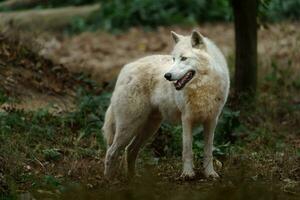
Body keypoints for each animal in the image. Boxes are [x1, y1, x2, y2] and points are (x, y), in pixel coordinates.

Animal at [103, 30, 230, 179]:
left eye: (184, 58)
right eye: (174, 59)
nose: (167, 76)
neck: (202, 87)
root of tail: (125, 70)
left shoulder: (211, 121)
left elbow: (208, 151)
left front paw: (210, 173)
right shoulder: (186, 119)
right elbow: (187, 150)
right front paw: (187, 174)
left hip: (149, 127)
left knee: (130, 149)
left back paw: (133, 178)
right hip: (129, 127)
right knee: (111, 152)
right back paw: (109, 179)